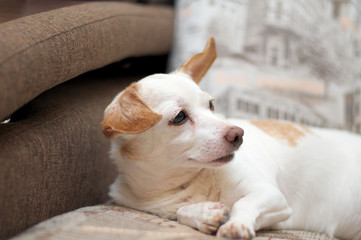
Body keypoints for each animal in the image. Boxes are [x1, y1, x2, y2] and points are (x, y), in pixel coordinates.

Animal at [100, 36, 360, 239]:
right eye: (179, 117)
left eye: (211, 105)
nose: (238, 134)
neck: (183, 183)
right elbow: (181, 212)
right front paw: (205, 214)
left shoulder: (271, 196)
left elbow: (242, 202)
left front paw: (236, 223)